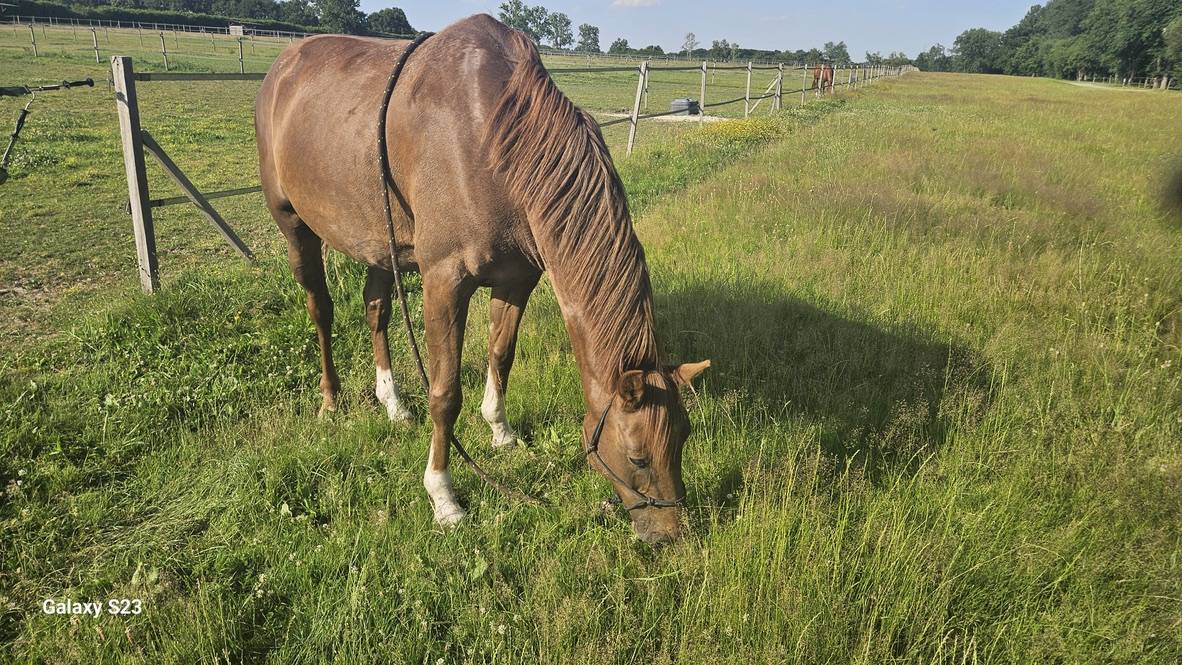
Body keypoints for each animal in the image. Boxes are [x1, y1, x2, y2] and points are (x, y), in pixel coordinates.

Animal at [254, 14, 710, 545]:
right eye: (637, 457)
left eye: (684, 437)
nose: (670, 534)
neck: (491, 138)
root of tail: (283, 64)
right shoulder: (444, 284)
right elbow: (445, 394)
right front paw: (443, 496)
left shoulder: (517, 279)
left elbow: (501, 355)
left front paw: (500, 430)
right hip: (294, 226)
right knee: (321, 310)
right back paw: (331, 401)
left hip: (379, 240)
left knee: (376, 310)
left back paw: (393, 404)